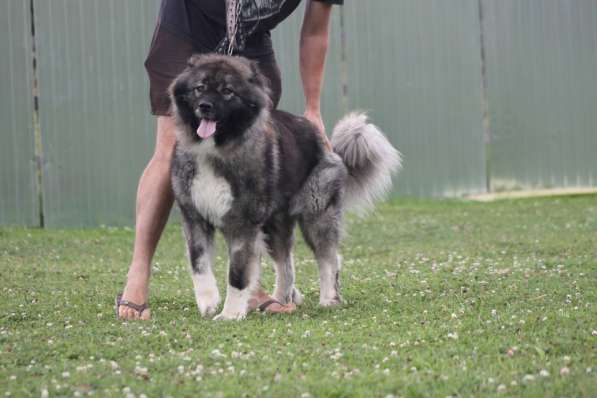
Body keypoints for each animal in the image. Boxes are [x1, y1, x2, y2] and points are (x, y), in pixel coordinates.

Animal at [169, 53, 400, 320]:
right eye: (199, 88)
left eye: (227, 91)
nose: (205, 106)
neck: (213, 151)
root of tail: (324, 143)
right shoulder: (194, 218)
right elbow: (198, 264)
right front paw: (208, 302)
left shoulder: (242, 225)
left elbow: (237, 275)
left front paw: (230, 314)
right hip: (274, 226)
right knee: (286, 266)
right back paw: (280, 301)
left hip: (316, 216)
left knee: (329, 258)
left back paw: (329, 299)